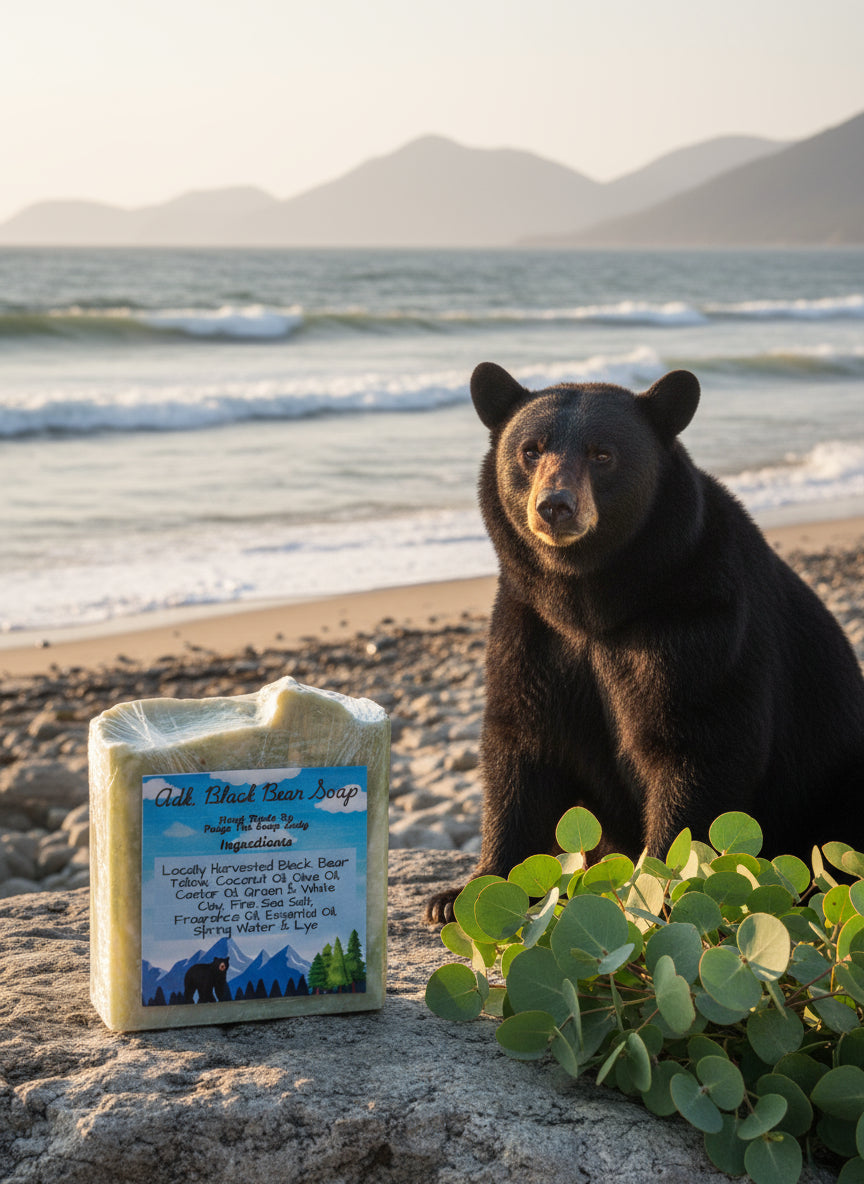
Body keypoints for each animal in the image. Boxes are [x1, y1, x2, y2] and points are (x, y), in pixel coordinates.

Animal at [425, 362, 864, 923]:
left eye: (602, 453)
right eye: (530, 449)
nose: (554, 507)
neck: (591, 603)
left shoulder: (702, 622)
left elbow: (696, 746)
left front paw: (655, 894)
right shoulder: (532, 629)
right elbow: (520, 746)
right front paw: (458, 894)